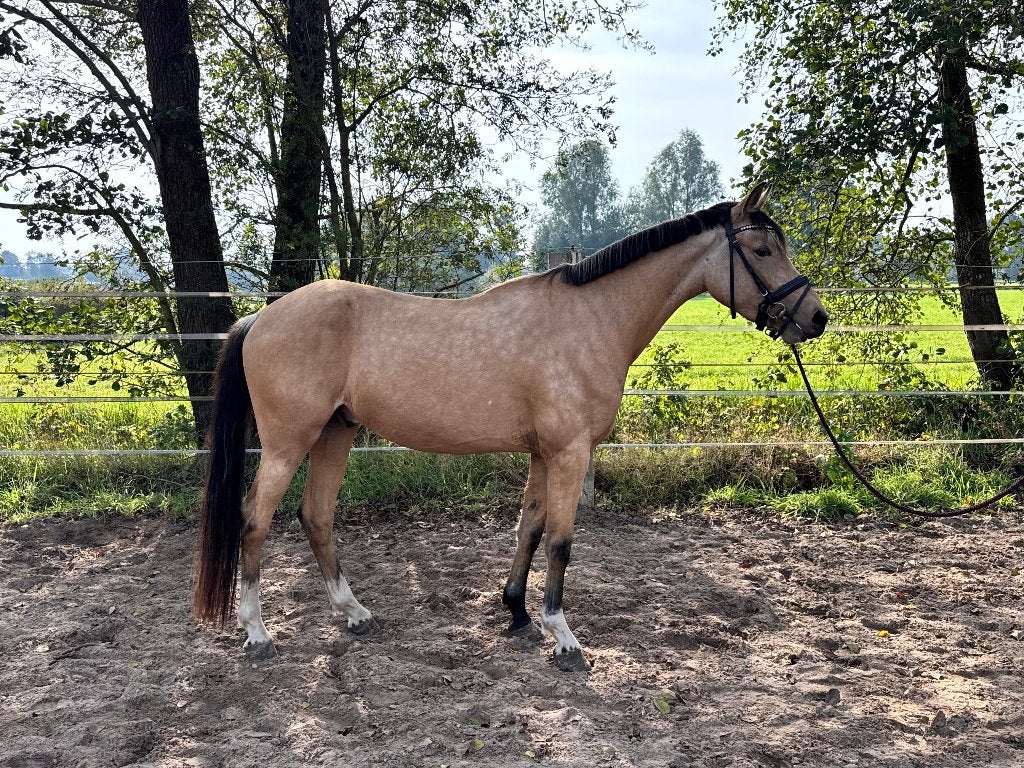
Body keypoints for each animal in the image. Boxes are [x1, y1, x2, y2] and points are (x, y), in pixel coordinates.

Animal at [193, 183, 828, 671]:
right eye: (763, 248)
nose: (816, 318)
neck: (591, 319)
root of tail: (259, 317)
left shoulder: (544, 454)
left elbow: (529, 528)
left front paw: (518, 612)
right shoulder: (570, 452)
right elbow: (561, 541)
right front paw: (562, 635)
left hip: (336, 433)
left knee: (316, 517)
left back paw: (353, 613)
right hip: (288, 443)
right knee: (255, 520)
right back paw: (256, 633)